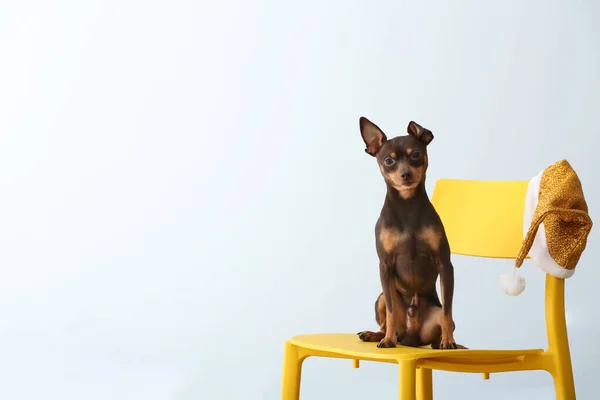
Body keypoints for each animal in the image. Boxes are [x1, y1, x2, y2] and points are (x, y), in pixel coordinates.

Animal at [356, 117, 464, 348]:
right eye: (388, 160)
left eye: (415, 154)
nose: (405, 174)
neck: (407, 206)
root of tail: (411, 339)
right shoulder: (385, 266)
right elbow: (390, 310)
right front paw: (387, 340)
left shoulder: (445, 264)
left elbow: (447, 311)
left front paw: (449, 341)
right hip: (380, 297)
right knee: (387, 320)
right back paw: (378, 335)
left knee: (443, 322)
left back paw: (447, 342)